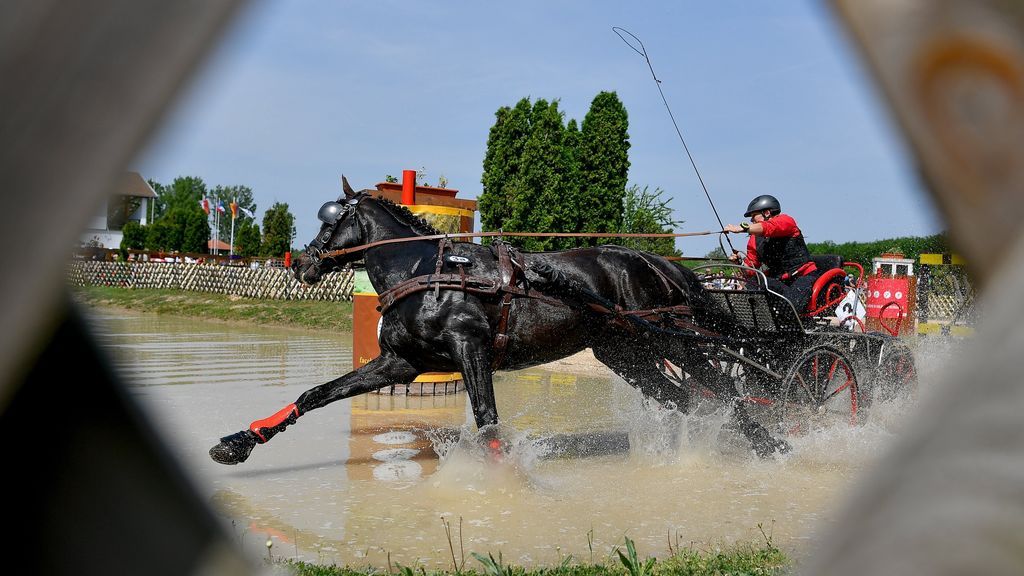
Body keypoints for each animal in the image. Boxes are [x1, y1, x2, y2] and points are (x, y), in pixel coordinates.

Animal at [205, 177, 782, 463]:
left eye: (330, 221)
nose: (300, 263)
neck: (427, 272)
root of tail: (658, 262)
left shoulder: (471, 346)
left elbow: (487, 421)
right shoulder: (399, 363)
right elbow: (317, 394)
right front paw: (241, 440)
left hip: (672, 341)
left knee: (723, 393)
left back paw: (770, 444)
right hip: (626, 354)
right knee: (688, 399)